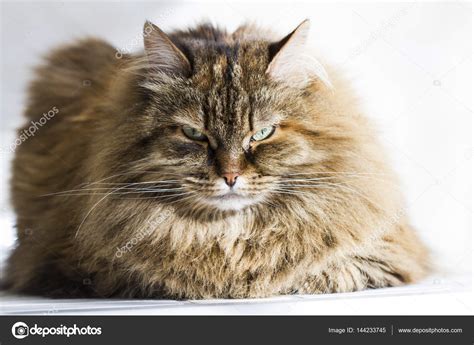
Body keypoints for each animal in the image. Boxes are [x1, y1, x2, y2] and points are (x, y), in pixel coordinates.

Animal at [3, 19, 432, 298]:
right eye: (195, 134)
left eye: (261, 134)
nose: (230, 176)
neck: (229, 234)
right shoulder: (69, 266)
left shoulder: (385, 257)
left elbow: (309, 271)